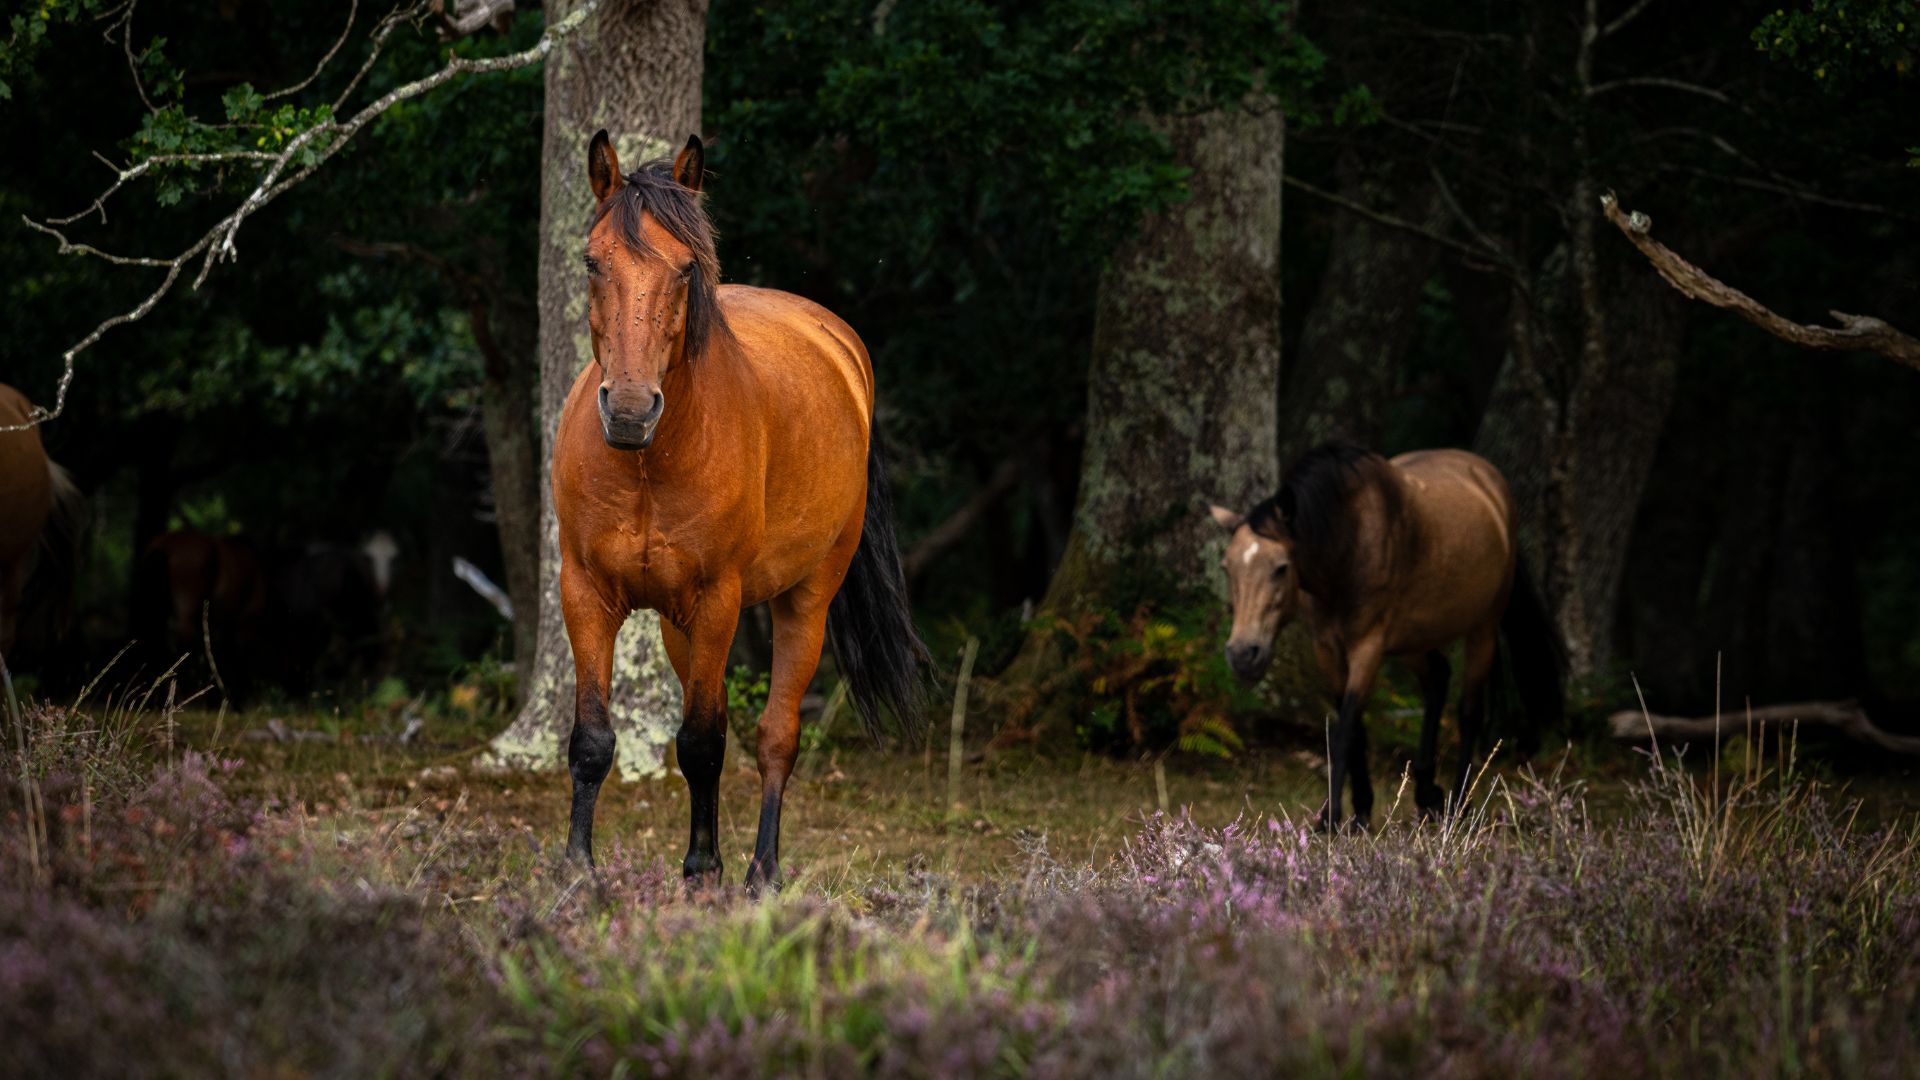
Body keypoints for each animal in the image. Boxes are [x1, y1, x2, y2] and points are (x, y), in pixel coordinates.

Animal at [554, 130, 925, 888]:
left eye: (685, 268)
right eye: (592, 261)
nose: (629, 411)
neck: (646, 464)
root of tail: (842, 347)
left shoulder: (717, 597)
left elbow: (702, 742)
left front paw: (701, 872)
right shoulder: (586, 592)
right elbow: (594, 740)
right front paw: (578, 872)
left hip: (804, 599)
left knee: (773, 737)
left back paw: (761, 873)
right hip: (678, 624)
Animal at [1208, 443, 1563, 828]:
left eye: (1281, 568)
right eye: (1227, 567)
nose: (1243, 654)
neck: (1347, 544)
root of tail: (1492, 484)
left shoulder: (1368, 646)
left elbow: (1346, 726)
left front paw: (1330, 818)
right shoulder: (1327, 649)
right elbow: (1354, 727)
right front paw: (1361, 809)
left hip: (1482, 628)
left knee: (1470, 710)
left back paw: (1458, 804)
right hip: (1412, 637)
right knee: (1438, 676)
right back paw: (1427, 793)